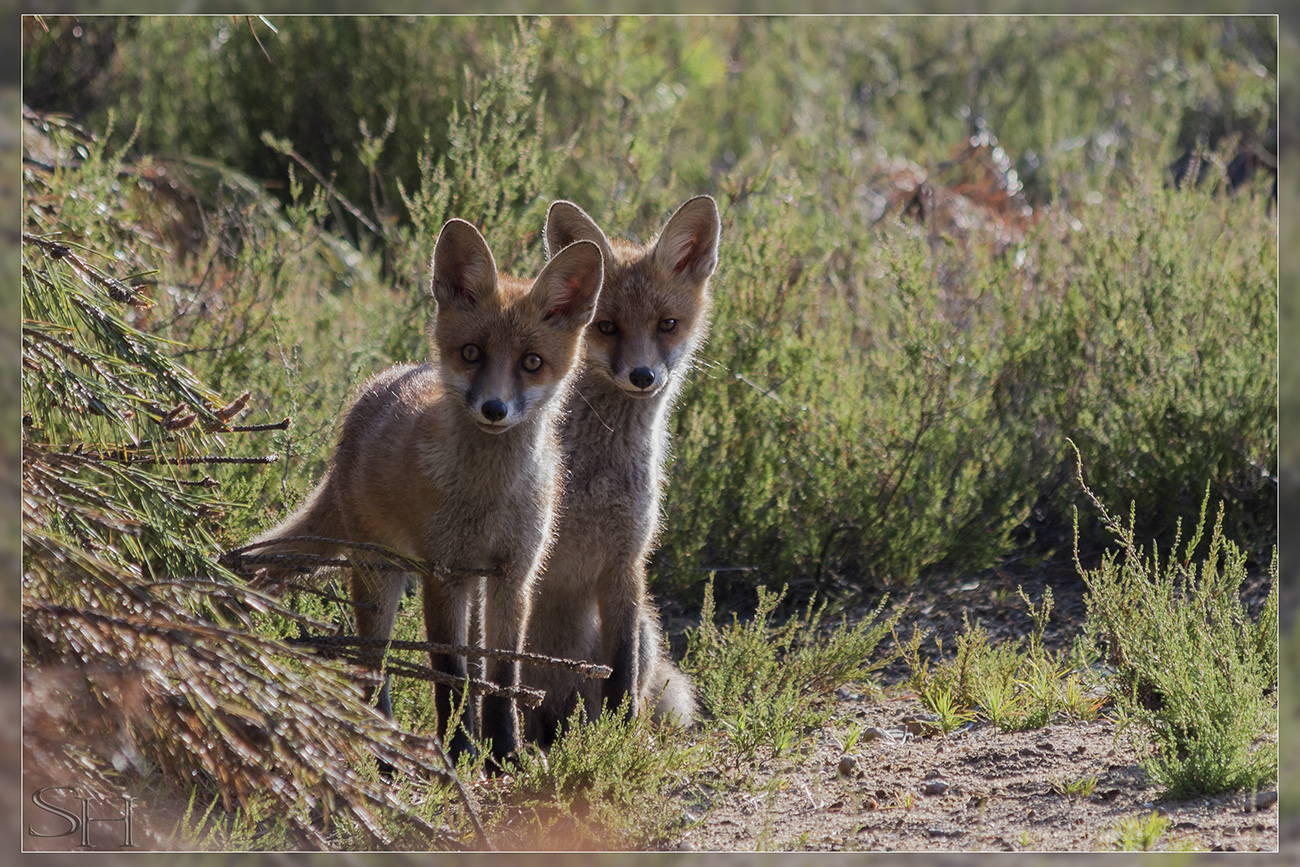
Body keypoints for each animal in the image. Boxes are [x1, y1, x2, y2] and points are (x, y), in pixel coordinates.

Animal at [249, 220, 603, 764]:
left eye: (532, 362)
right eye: (471, 353)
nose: (494, 409)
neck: (489, 497)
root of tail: (370, 394)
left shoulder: (514, 575)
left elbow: (502, 674)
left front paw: (504, 755)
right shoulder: (442, 575)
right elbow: (448, 675)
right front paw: (457, 752)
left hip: (465, 585)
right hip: (379, 578)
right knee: (372, 671)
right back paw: (384, 752)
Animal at [520, 196, 722, 748]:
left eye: (667, 324)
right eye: (606, 327)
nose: (643, 376)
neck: (597, 477)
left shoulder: (625, 563)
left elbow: (621, 676)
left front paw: (620, 745)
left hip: (647, 634)